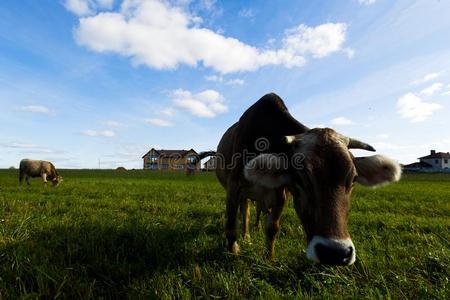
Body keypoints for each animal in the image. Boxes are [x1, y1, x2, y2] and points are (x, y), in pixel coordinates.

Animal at [215, 93, 400, 264]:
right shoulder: (233, 188)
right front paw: (232, 254)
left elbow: (272, 228)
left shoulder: (280, 194)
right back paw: (246, 237)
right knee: (245, 212)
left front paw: (269, 259)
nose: (335, 253)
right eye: (299, 178)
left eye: (354, 178)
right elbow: (231, 228)